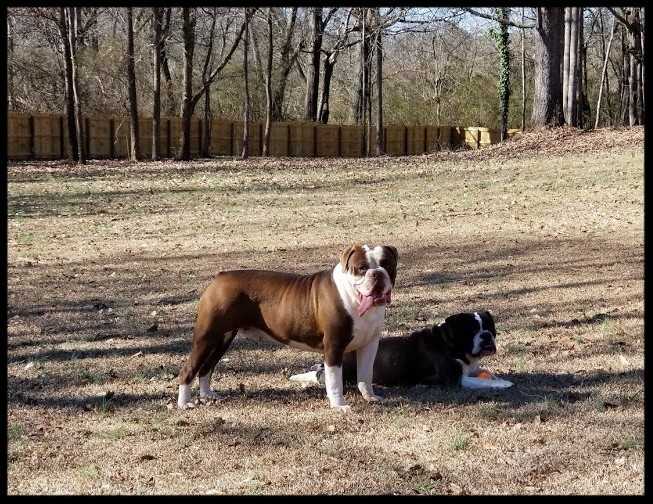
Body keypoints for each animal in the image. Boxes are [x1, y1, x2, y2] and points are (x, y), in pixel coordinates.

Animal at [290, 312, 510, 390]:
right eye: (471, 330)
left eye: (490, 327)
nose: (486, 336)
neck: (449, 343)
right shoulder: (453, 379)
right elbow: (480, 382)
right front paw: (503, 383)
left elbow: (485, 372)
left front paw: (496, 376)